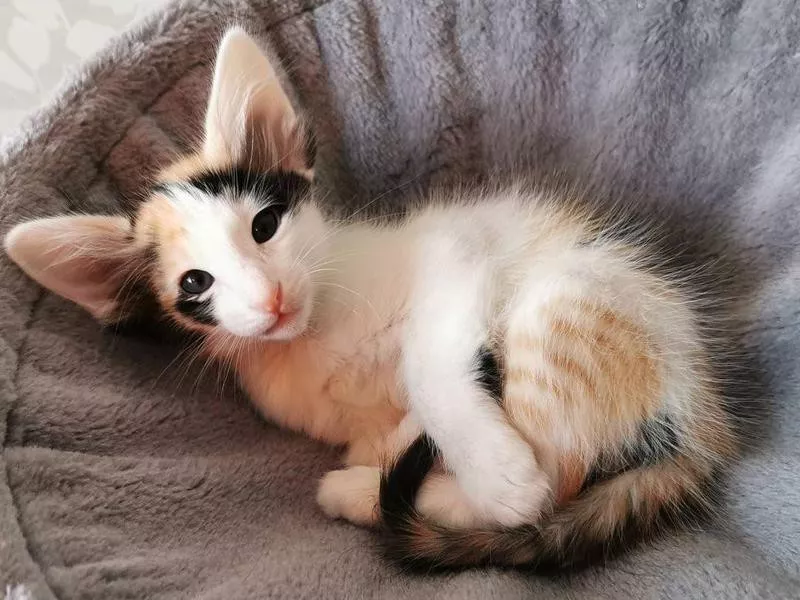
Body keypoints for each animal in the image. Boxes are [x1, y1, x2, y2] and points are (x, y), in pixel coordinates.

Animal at [3, 28, 736, 568]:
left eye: (265, 226)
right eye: (195, 285)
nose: (270, 300)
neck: (316, 334)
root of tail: (699, 419)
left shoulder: (450, 247)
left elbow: (427, 364)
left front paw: (494, 467)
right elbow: (378, 432)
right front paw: (394, 444)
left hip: (568, 303)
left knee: (551, 487)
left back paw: (428, 488)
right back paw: (367, 486)